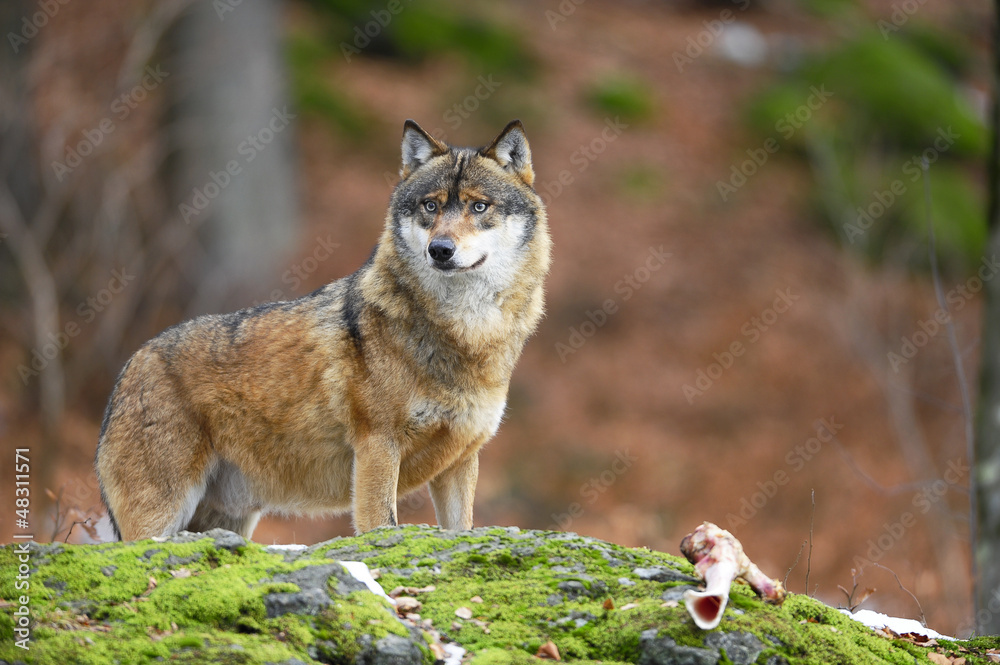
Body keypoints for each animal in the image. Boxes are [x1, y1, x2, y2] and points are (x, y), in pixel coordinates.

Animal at [95, 119, 551, 541]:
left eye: (479, 207)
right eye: (430, 206)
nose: (439, 250)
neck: (466, 332)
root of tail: (127, 369)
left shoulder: (461, 460)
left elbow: (463, 529)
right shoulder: (377, 447)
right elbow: (380, 525)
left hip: (223, 522)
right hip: (160, 520)